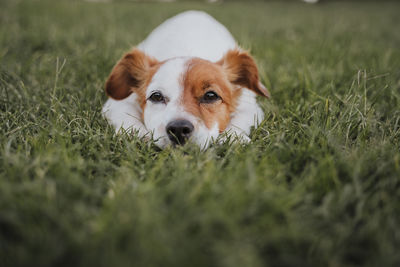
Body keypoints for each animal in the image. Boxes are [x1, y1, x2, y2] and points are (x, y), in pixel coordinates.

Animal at [103, 10, 270, 149]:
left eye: (211, 95)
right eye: (156, 96)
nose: (178, 129)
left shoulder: (251, 108)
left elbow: (239, 122)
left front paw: (235, 138)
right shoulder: (116, 104)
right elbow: (128, 120)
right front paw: (139, 135)